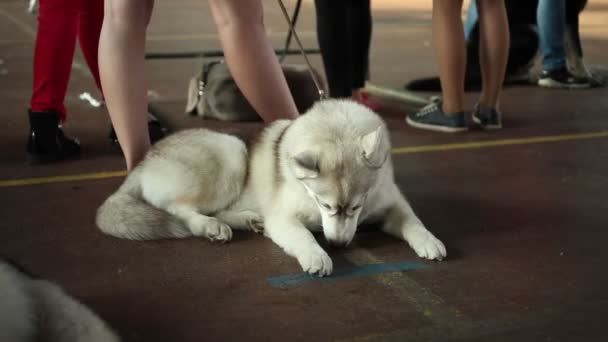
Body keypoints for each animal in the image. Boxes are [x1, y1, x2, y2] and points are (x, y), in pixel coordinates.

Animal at [97, 99, 444, 276]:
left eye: (356, 206)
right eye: (325, 205)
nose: (338, 244)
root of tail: (144, 160)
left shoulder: (390, 204)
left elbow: (414, 222)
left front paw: (429, 240)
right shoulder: (285, 219)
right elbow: (304, 236)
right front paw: (316, 255)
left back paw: (246, 220)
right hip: (232, 154)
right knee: (180, 210)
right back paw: (209, 226)